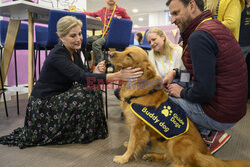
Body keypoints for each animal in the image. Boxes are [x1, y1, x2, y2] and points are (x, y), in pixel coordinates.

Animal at [110, 45, 250, 167]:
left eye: (129, 55)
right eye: (125, 49)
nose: (110, 54)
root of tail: (206, 153)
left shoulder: (137, 126)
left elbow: (132, 144)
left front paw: (123, 158)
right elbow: (133, 141)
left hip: (177, 141)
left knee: (182, 163)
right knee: (168, 156)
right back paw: (151, 156)